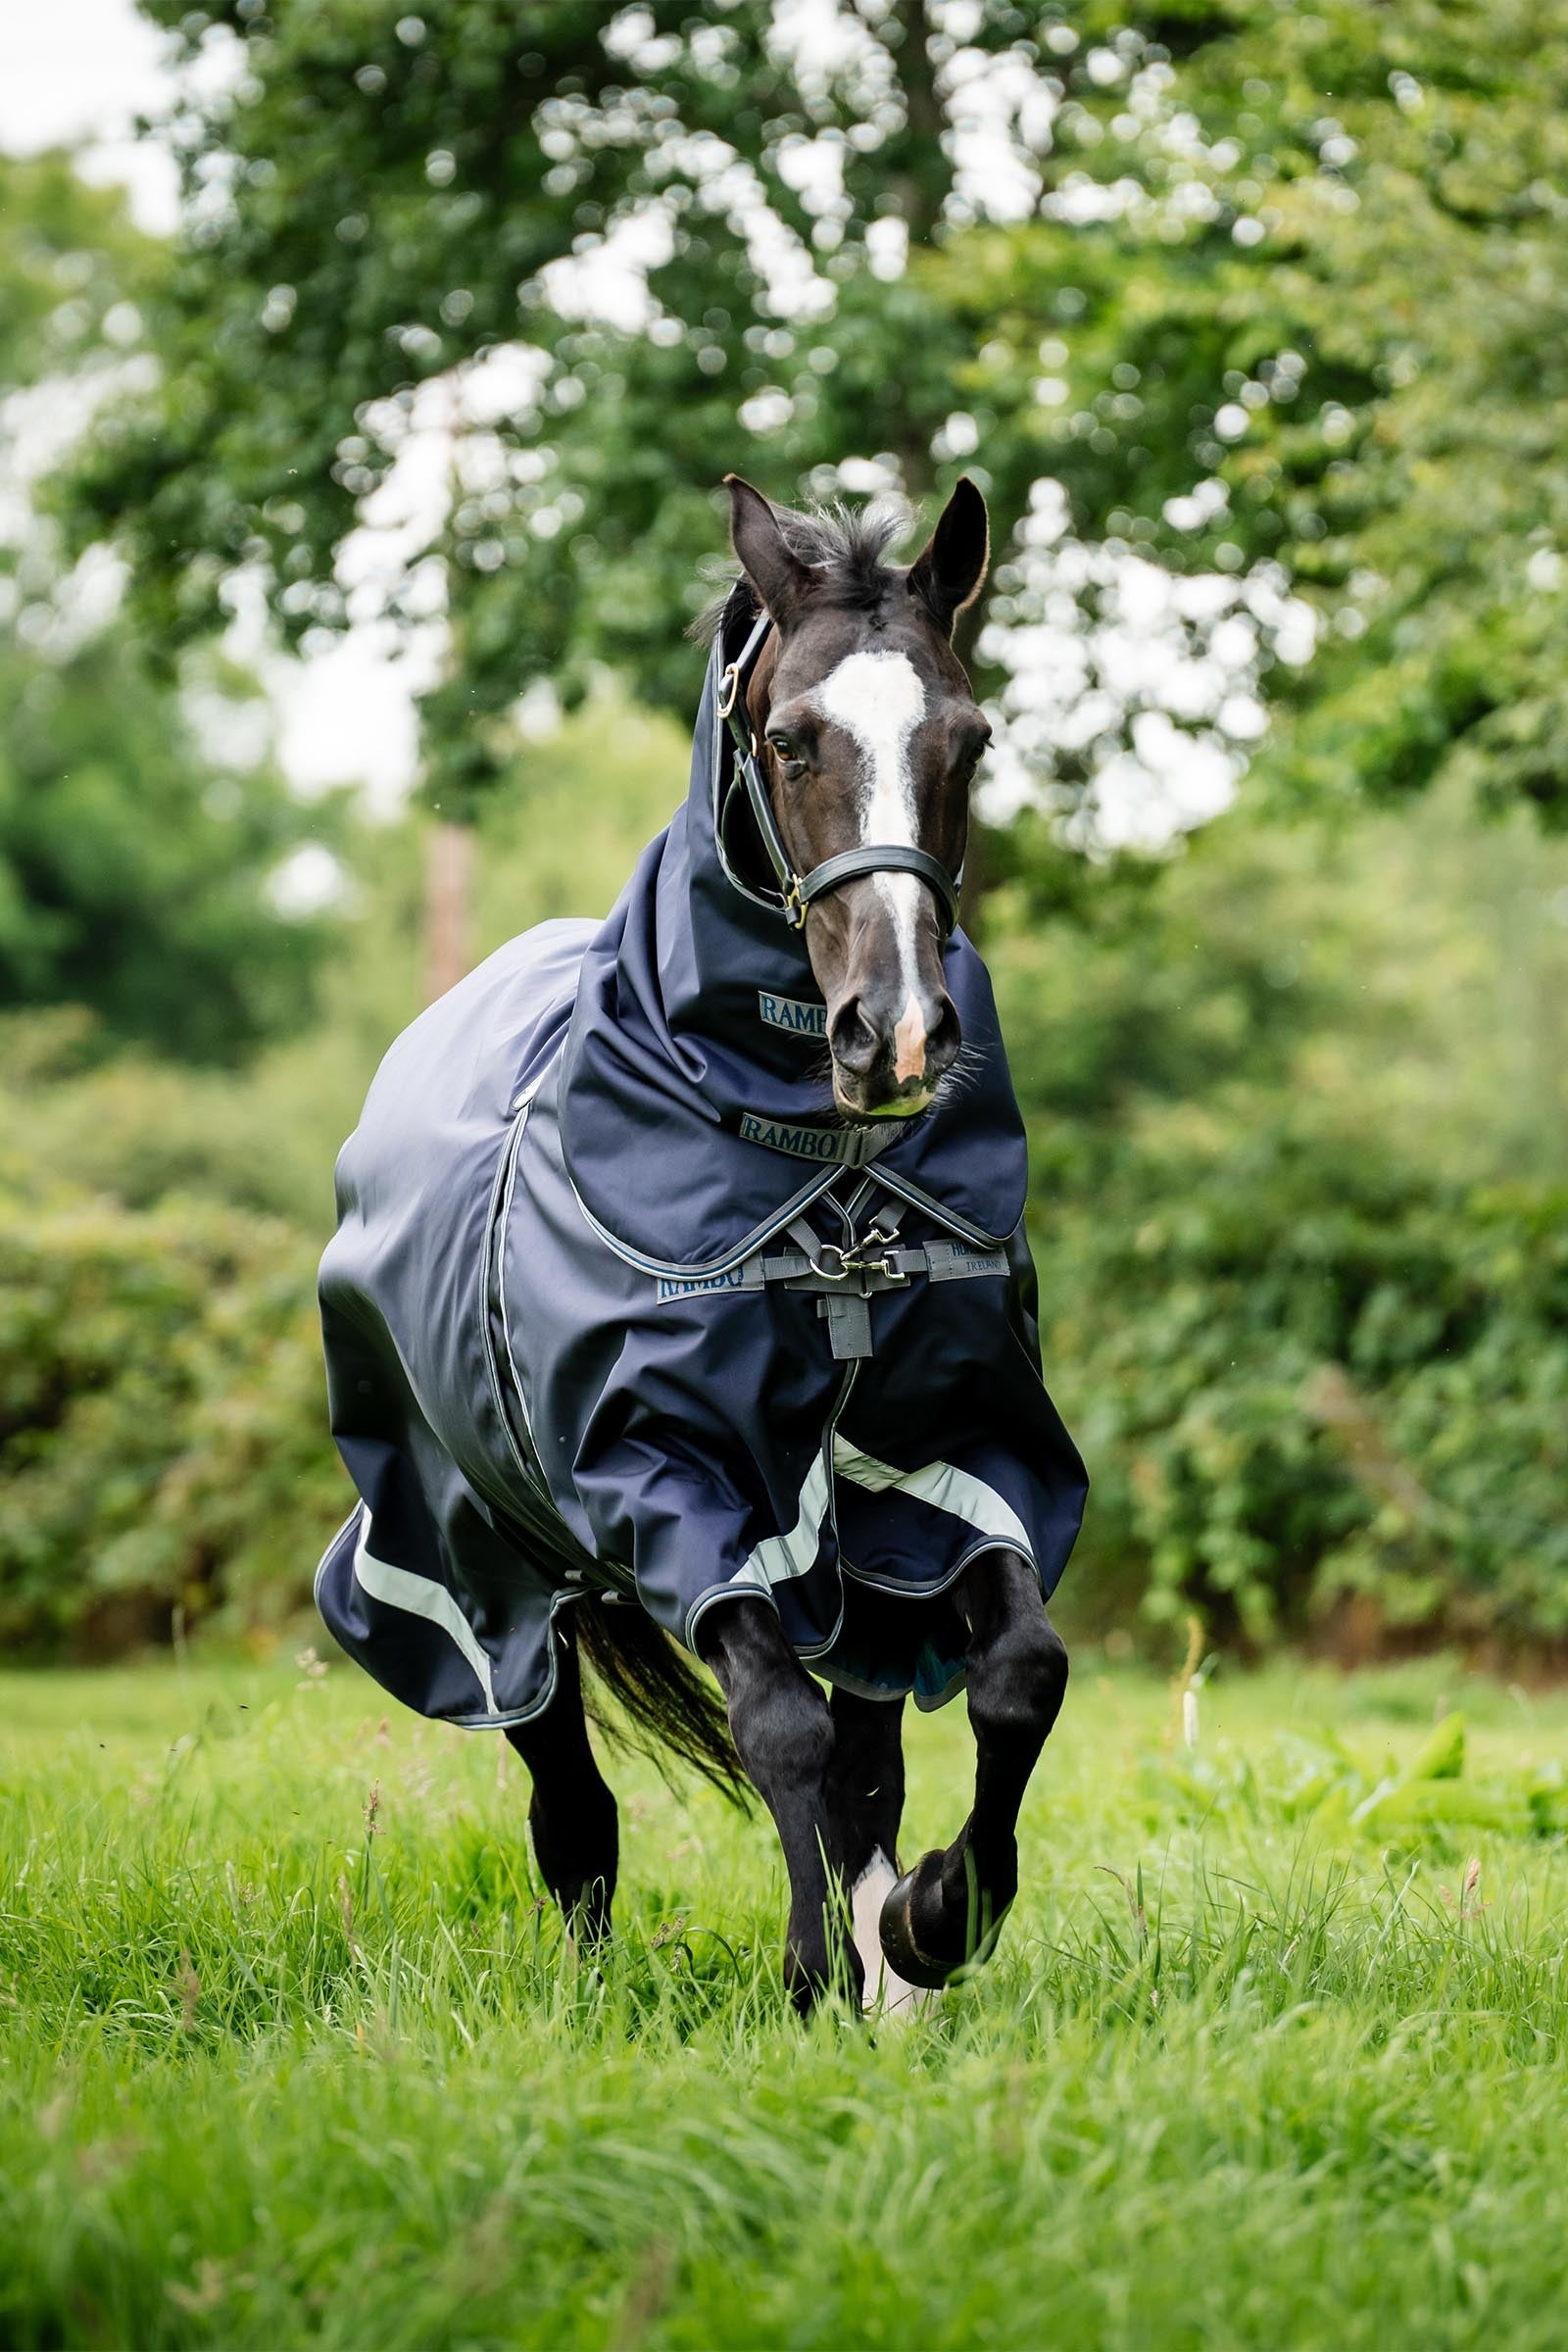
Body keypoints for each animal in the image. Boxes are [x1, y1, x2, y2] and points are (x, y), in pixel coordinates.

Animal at [316, 474, 1087, 2013]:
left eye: (968, 739)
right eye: (788, 739)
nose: (896, 1034)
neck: (827, 1199)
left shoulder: (945, 1464)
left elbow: (1015, 1676)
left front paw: (933, 1922)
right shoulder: (673, 1475)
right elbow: (776, 1723)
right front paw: (808, 1968)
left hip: (848, 1577)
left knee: (869, 1759)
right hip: (481, 1560)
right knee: (570, 1796)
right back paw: (599, 1981)